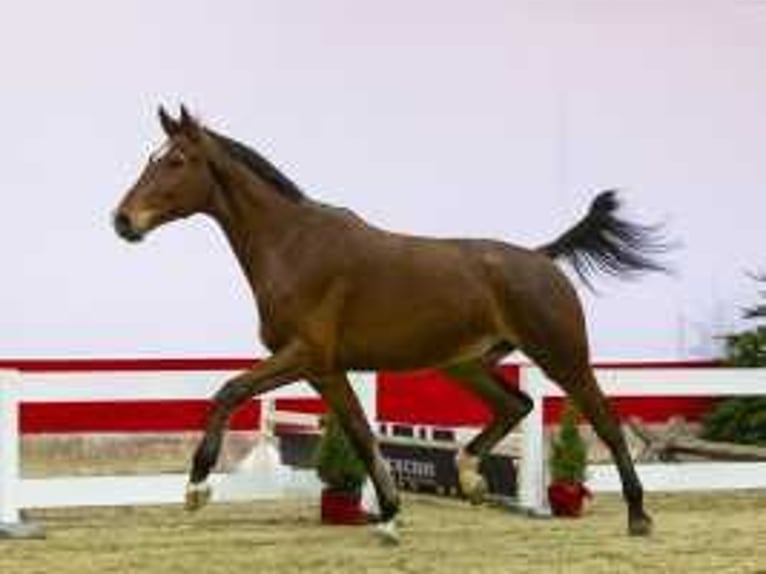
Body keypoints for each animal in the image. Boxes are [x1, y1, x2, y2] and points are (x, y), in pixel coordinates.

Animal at [114, 106, 672, 544]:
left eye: (176, 161)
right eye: (151, 159)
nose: (122, 220)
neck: (294, 248)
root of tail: (542, 258)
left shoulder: (305, 355)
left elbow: (229, 390)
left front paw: (197, 488)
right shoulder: (324, 370)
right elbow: (362, 436)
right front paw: (388, 517)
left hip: (562, 356)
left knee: (604, 420)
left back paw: (639, 516)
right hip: (466, 363)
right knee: (516, 404)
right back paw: (470, 478)